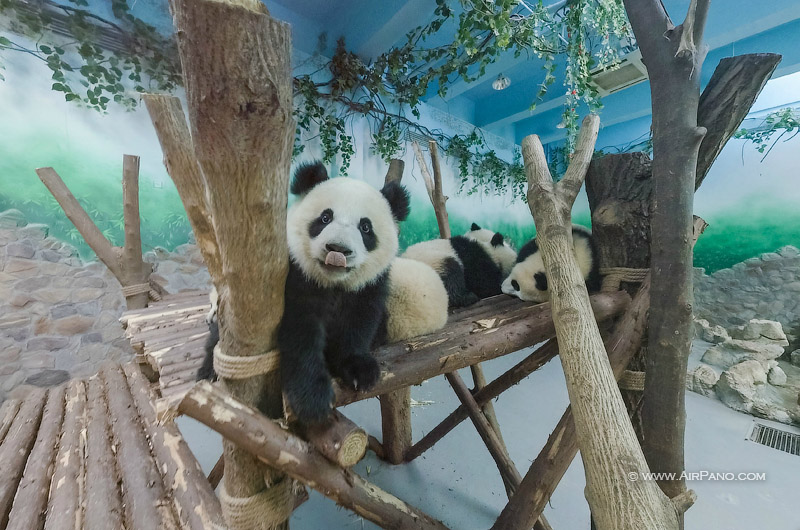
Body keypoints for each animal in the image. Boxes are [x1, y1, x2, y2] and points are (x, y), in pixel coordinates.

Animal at [200, 163, 450, 422]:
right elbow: (300, 332)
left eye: (365, 227)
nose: (338, 249)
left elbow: (359, 322)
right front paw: (313, 398)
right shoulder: (295, 279)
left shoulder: (369, 287)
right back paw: (209, 370)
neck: (333, 283)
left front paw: (360, 370)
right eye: (325, 217)